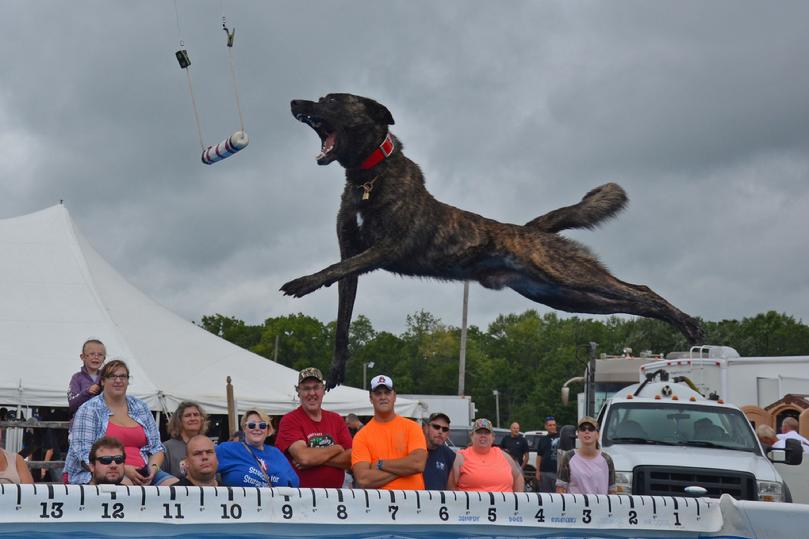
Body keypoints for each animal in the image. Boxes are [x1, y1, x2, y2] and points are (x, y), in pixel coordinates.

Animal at [282, 93, 700, 388]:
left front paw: (302, 283)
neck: (369, 175)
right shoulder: (354, 256)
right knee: (628, 301)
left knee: (639, 289)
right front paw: (336, 369)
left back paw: (687, 321)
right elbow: (342, 315)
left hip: (569, 274)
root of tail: (534, 230)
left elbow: (333, 269)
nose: (295, 103)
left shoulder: (386, 248)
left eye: (331, 100)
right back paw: (679, 323)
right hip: (565, 297)